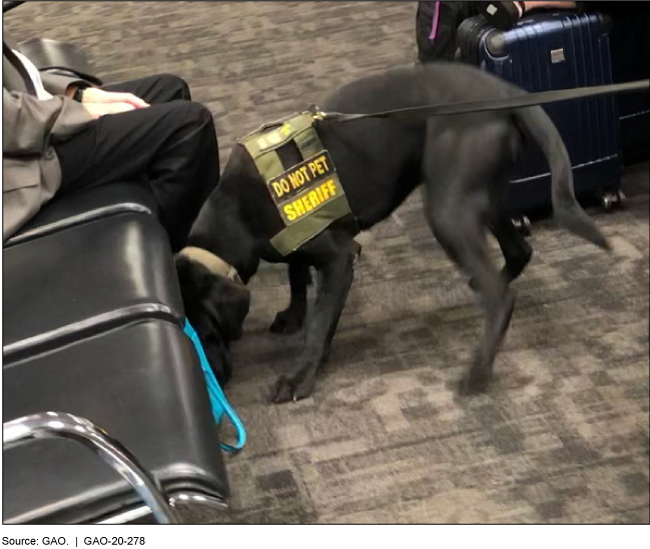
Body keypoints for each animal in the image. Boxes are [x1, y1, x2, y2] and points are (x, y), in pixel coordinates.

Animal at [176, 63, 608, 402]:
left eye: (207, 333)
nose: (215, 382)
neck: (237, 208)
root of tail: (504, 92)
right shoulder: (297, 239)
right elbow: (297, 278)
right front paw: (293, 315)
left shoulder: (339, 257)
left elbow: (320, 324)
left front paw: (301, 376)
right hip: (480, 195)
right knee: (517, 251)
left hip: (447, 207)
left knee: (501, 294)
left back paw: (478, 371)